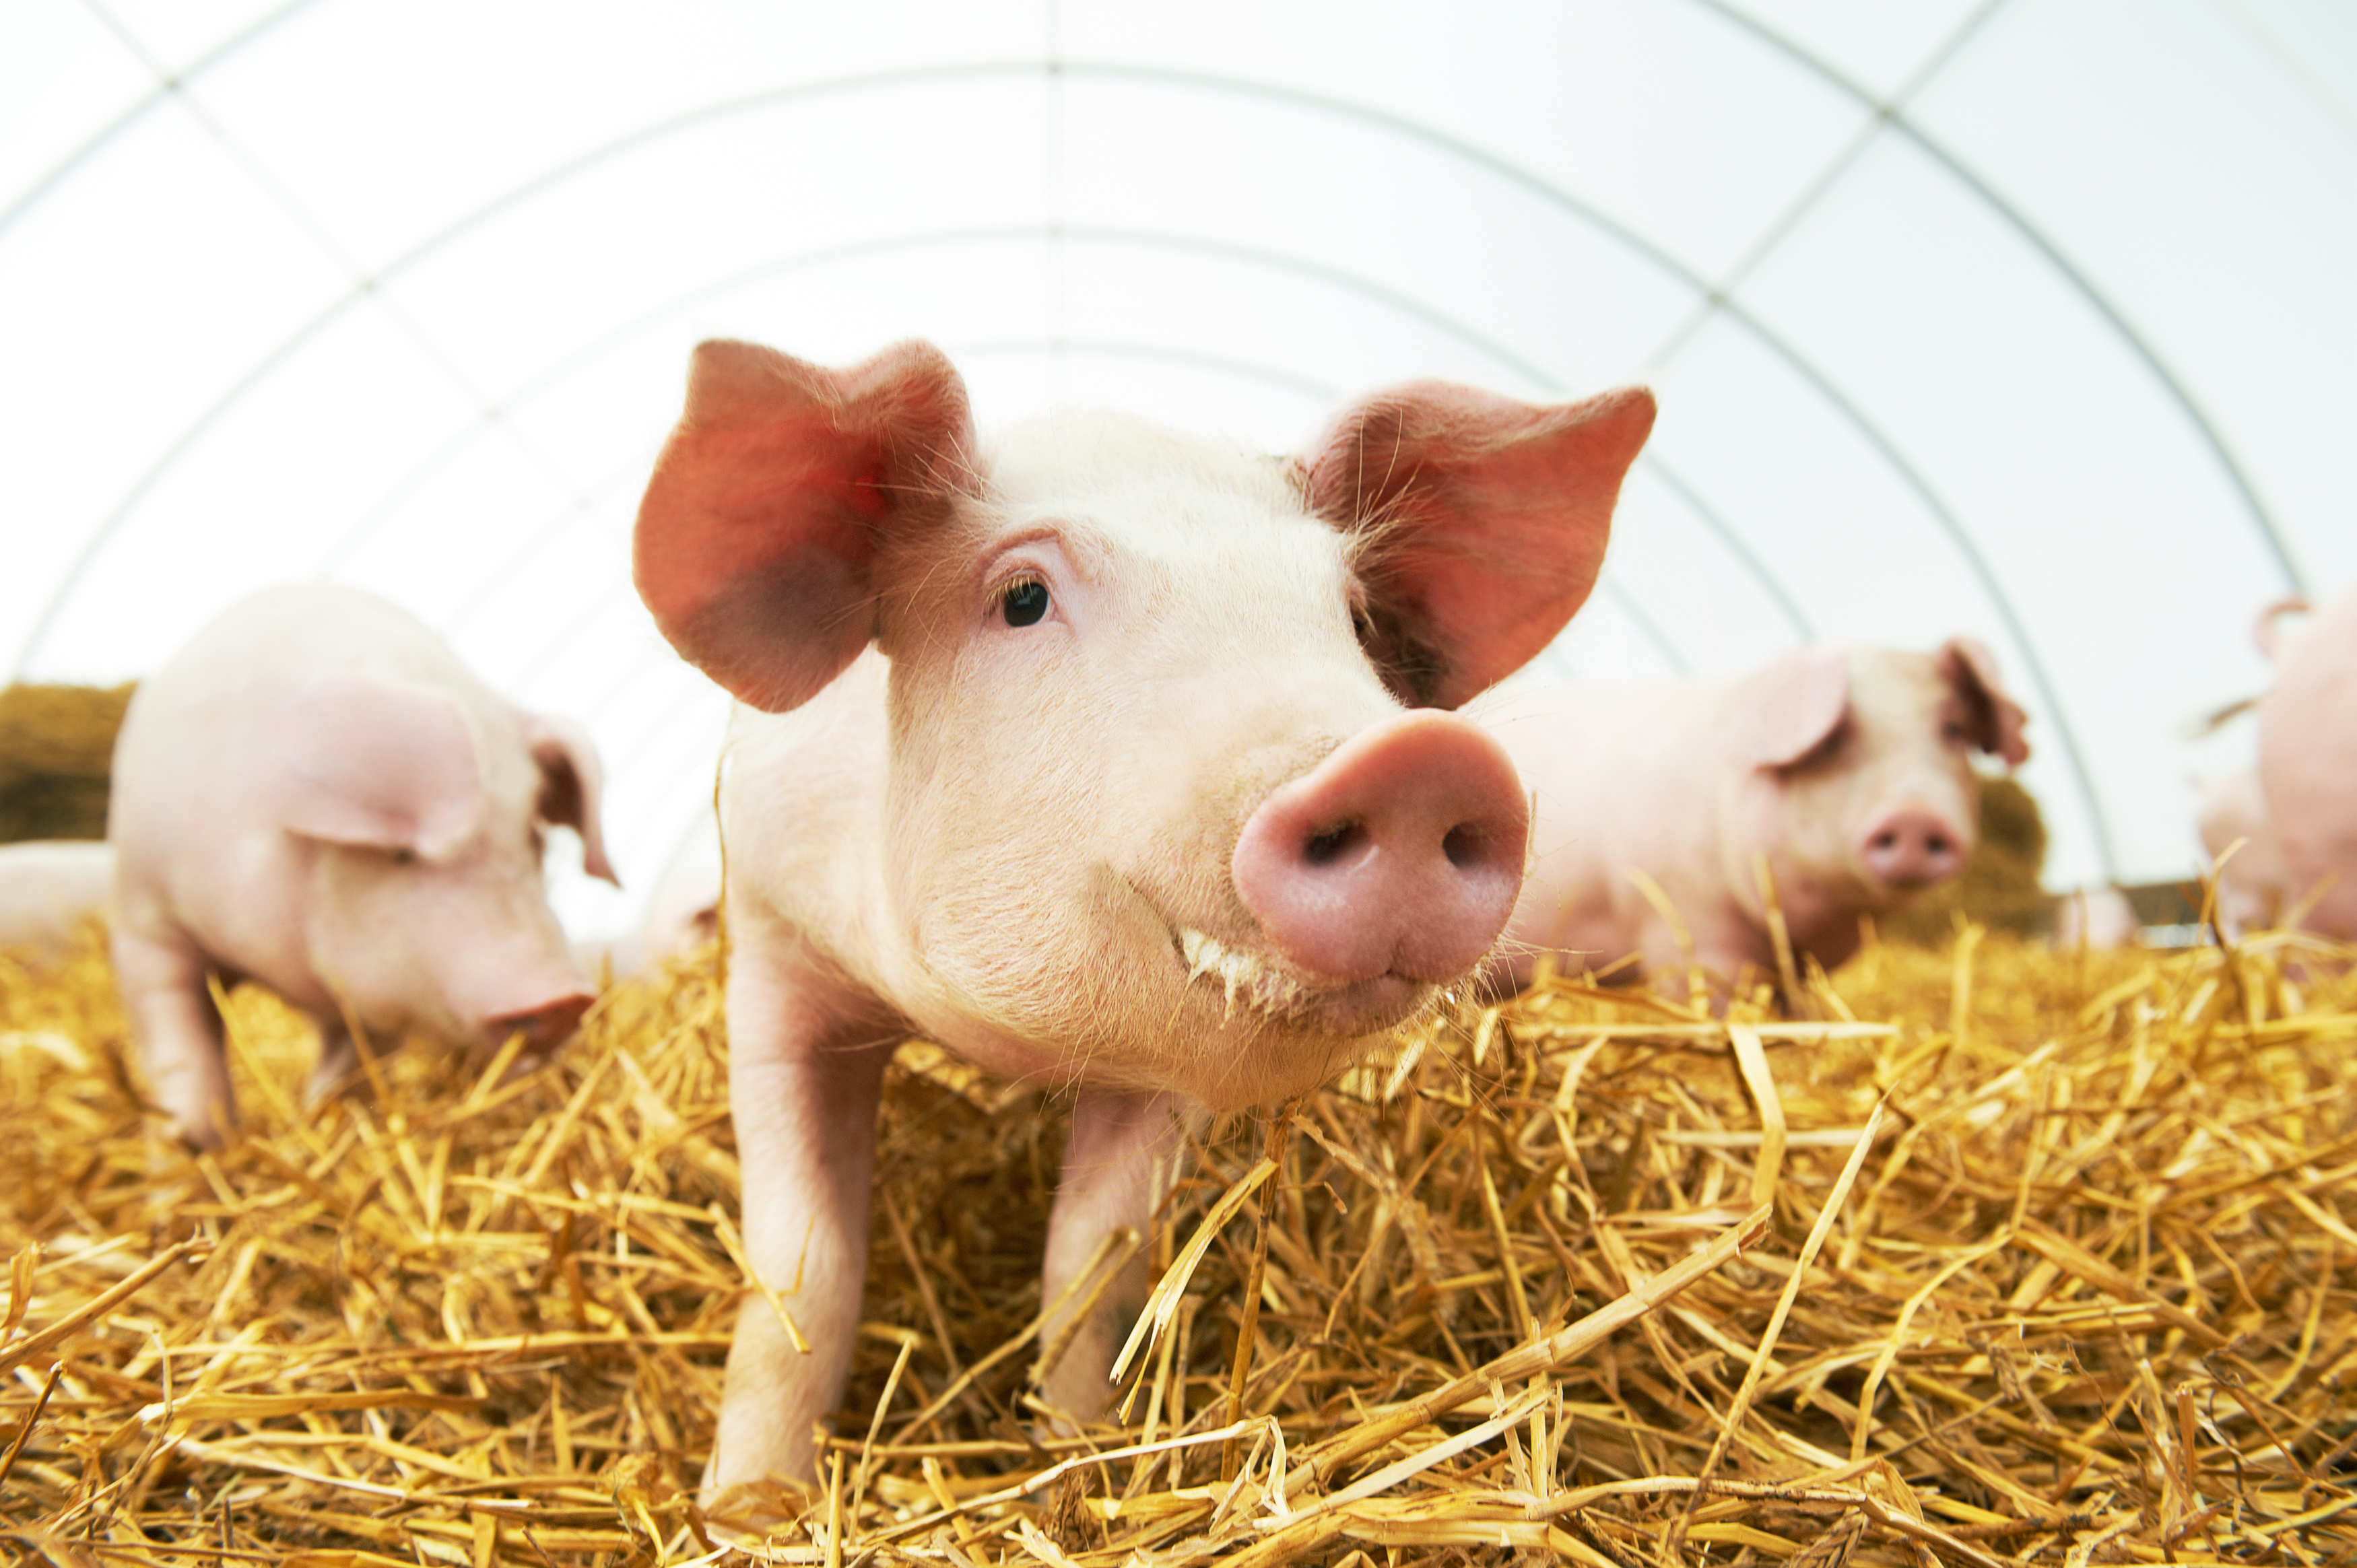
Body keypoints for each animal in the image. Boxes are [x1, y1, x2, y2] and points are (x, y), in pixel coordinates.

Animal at [108, 584, 618, 1148]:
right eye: (402, 853)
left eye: (531, 838)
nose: (564, 998)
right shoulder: (145, 921)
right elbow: (181, 1052)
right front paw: (189, 1150)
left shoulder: (371, 997)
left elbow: (351, 1065)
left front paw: (323, 1120)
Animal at [629, 338, 1655, 1499]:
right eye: (1023, 598)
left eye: (1352, 616)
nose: (1419, 761)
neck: (997, 1040)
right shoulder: (771, 952)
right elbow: (801, 1264)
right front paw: (750, 1509)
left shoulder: (1165, 1074)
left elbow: (1095, 1261)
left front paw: (1076, 1462)